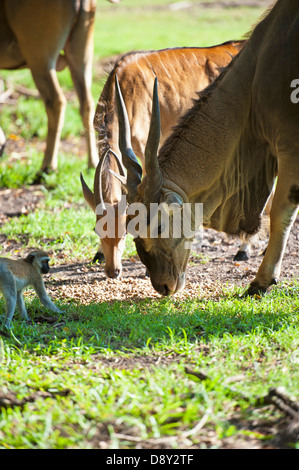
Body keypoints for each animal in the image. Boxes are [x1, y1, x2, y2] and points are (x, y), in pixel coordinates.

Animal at [0, 0, 101, 176]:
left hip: (40, 58)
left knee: (56, 101)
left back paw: (48, 166)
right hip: (81, 56)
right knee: (87, 104)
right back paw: (93, 163)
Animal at [80, 41, 246, 280]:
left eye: (125, 230)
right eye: (97, 229)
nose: (113, 271)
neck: (122, 84)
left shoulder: (146, 146)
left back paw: (244, 250)